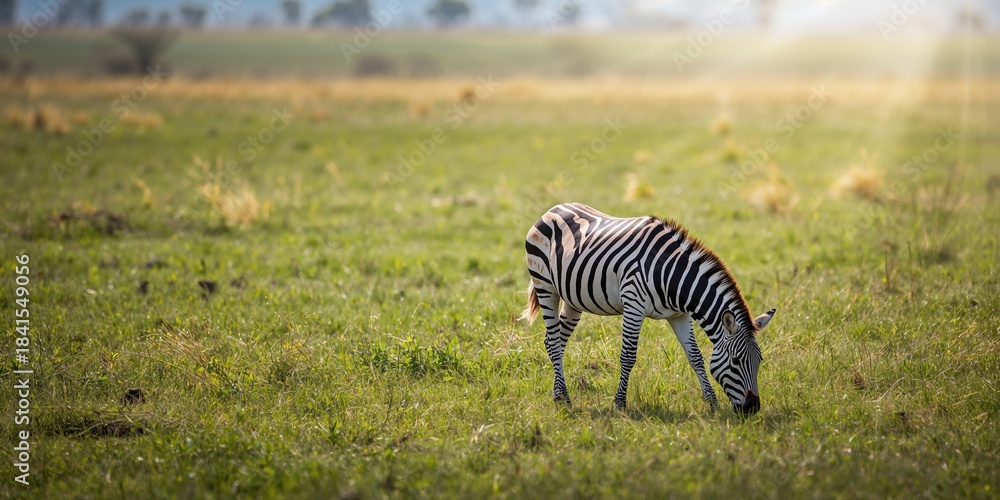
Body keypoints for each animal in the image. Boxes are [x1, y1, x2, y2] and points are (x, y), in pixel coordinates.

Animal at [520, 203, 776, 414]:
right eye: (736, 362)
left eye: (759, 361)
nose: (752, 409)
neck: (671, 274)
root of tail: (553, 209)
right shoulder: (634, 304)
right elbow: (628, 356)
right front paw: (619, 404)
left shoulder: (680, 315)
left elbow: (695, 356)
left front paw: (712, 402)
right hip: (545, 287)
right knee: (554, 341)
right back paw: (563, 398)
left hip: (573, 299)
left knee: (554, 341)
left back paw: (558, 394)